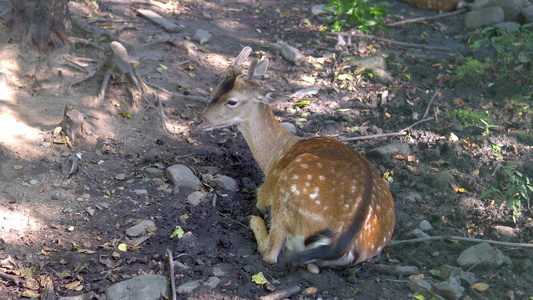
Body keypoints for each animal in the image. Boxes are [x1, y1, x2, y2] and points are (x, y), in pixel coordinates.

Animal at [197, 47, 392, 268]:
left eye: (232, 101)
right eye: (217, 88)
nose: (200, 120)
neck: (276, 155)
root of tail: (342, 244)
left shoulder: (266, 188)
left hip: (288, 191)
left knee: (271, 252)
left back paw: (255, 221)